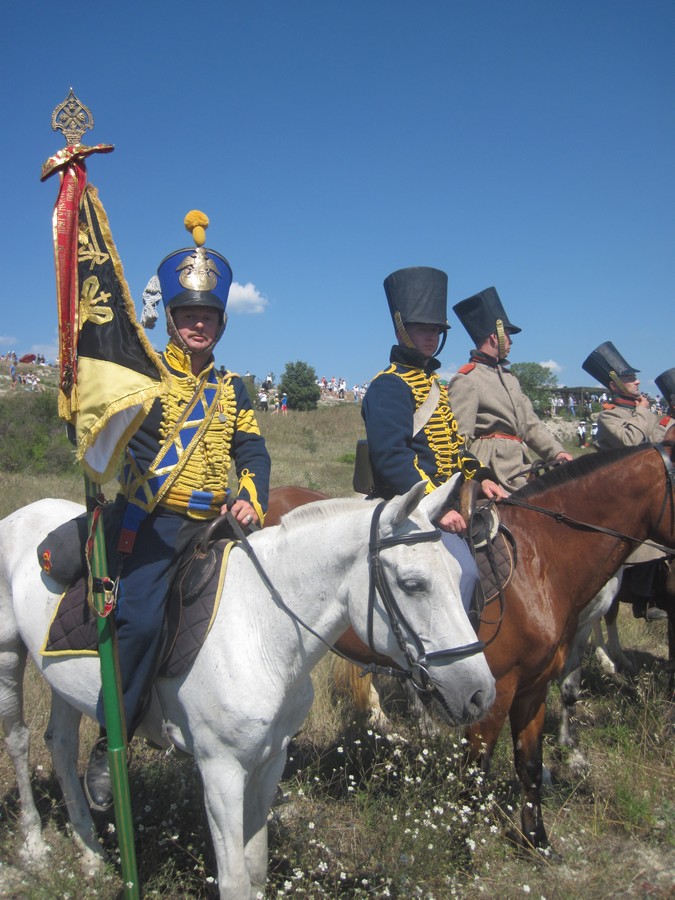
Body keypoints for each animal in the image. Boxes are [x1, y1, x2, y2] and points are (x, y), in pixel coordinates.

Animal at [0, 479, 496, 899]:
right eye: (414, 585)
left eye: (458, 574)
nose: (480, 694)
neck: (262, 626)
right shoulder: (220, 770)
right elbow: (235, 880)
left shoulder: (269, 760)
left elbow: (256, 866)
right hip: (9, 657)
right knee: (20, 741)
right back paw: (35, 845)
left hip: (64, 683)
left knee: (61, 746)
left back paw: (90, 854)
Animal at [317, 437, 675, 851]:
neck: (538, 562)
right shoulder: (494, 692)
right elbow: (474, 776)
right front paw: (459, 850)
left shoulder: (533, 688)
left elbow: (530, 765)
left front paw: (536, 839)